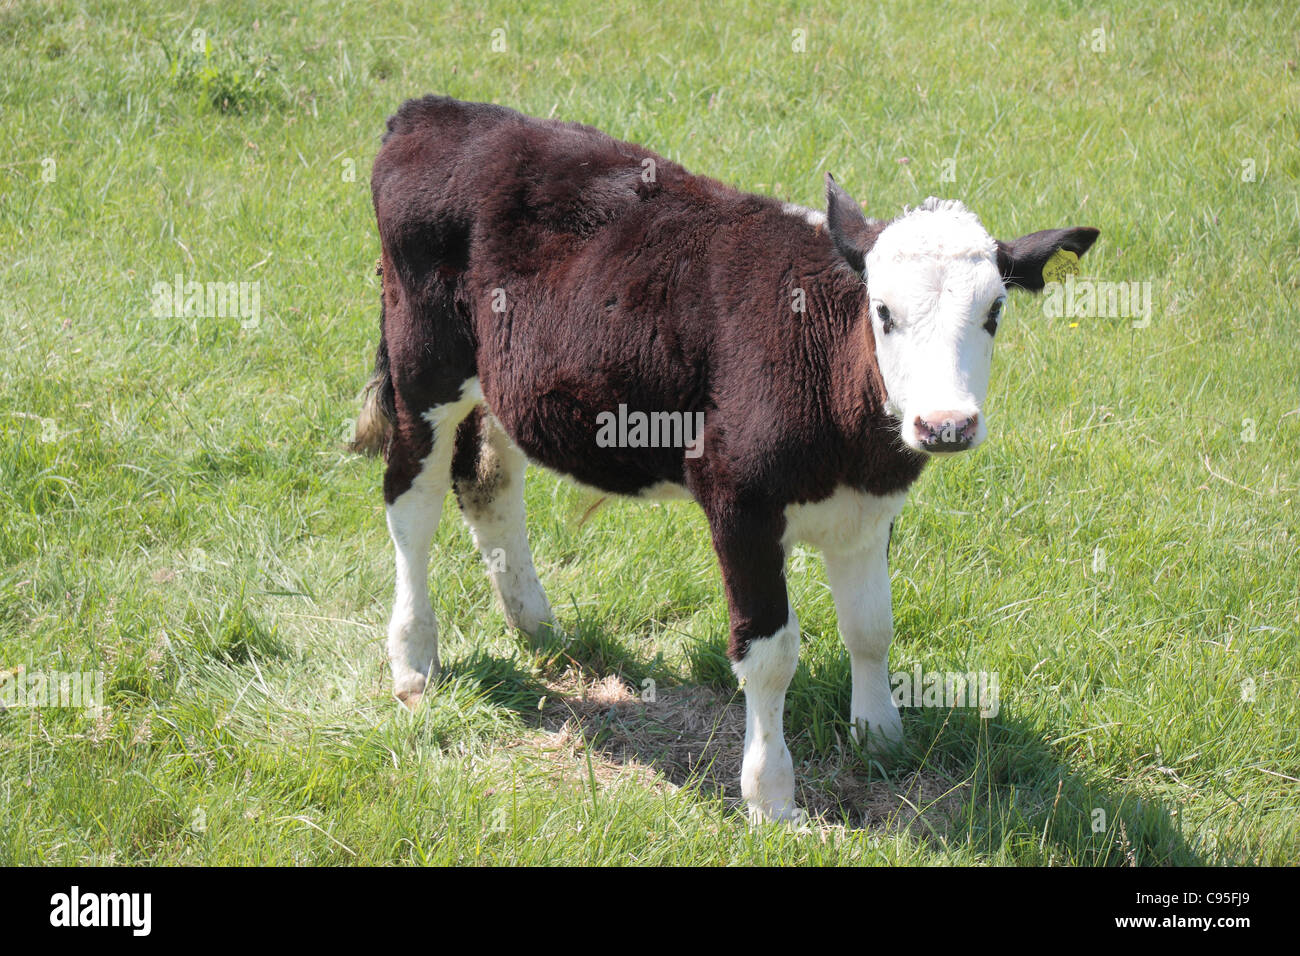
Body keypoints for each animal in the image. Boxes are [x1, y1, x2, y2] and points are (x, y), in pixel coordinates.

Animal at [348, 97, 1097, 822]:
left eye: (994, 312)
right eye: (883, 311)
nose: (945, 425)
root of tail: (434, 111)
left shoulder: (871, 505)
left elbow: (872, 626)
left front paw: (880, 735)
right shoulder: (741, 501)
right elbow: (770, 655)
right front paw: (771, 796)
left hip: (502, 385)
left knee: (489, 483)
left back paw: (537, 625)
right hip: (423, 368)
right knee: (411, 504)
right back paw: (414, 659)